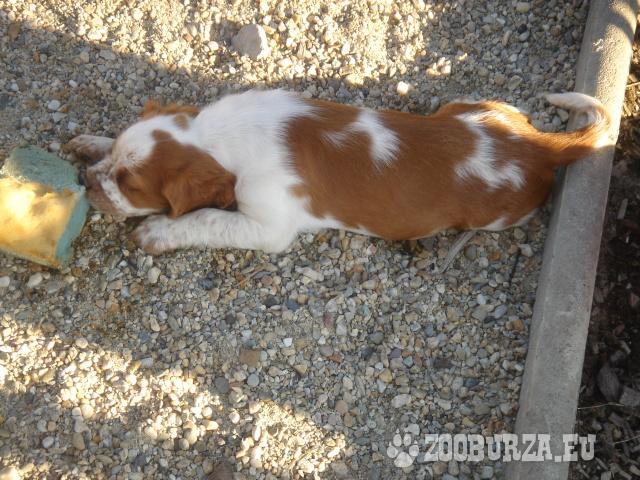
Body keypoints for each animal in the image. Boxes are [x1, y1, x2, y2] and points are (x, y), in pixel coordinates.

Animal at [67, 90, 610, 256]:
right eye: (113, 171)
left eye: (131, 185)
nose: (88, 184)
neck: (219, 137)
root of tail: (539, 146)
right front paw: (89, 143)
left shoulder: (269, 225)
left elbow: (204, 218)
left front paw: (156, 232)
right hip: (472, 104)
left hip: (497, 216)